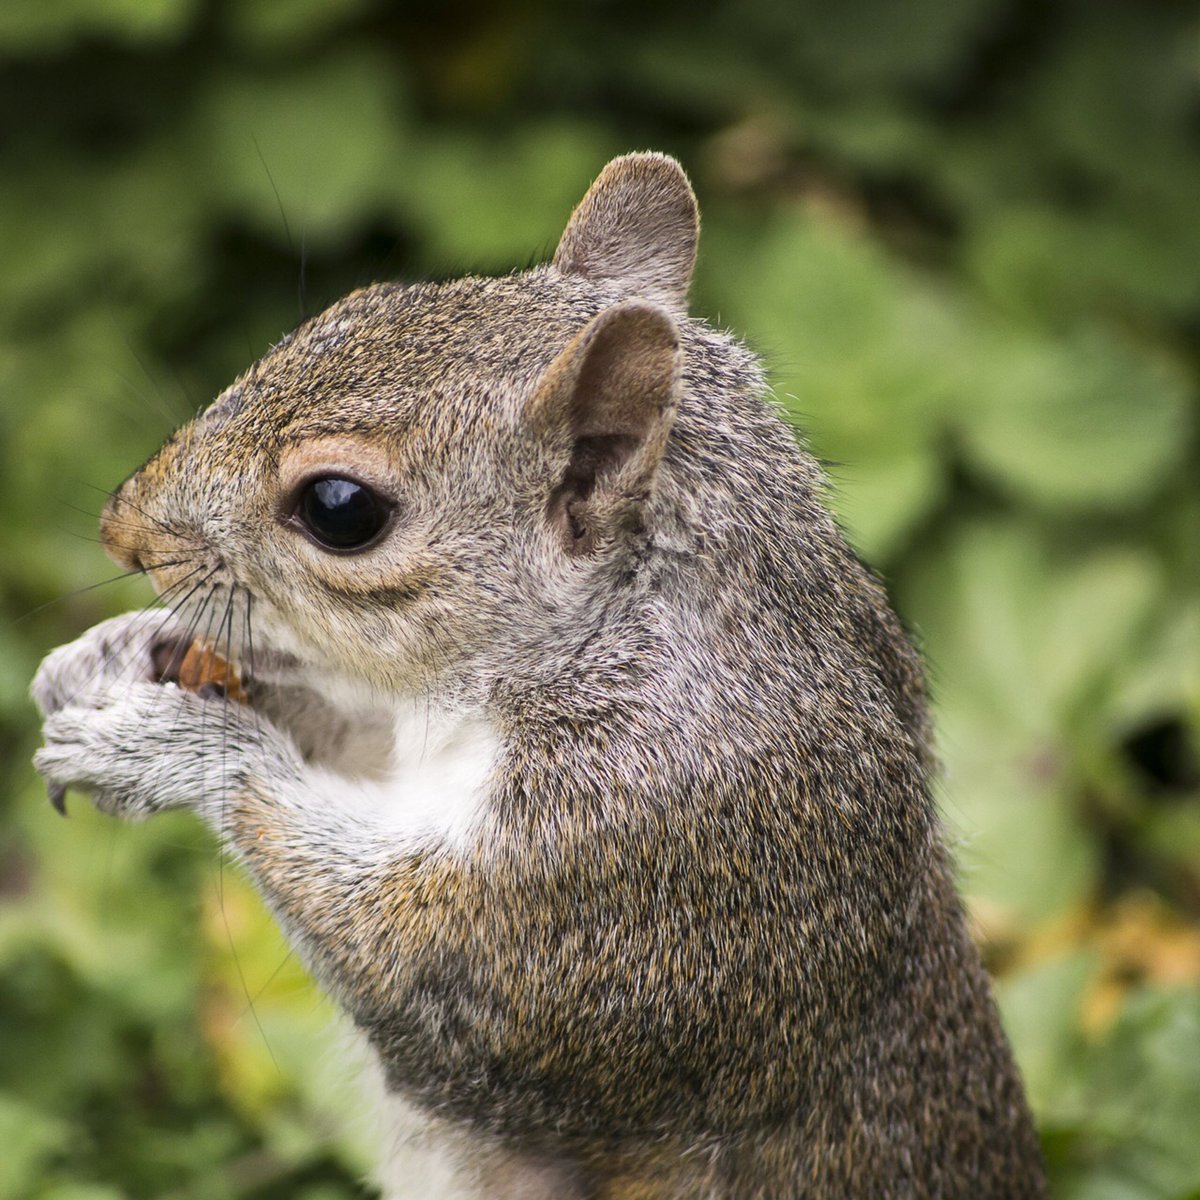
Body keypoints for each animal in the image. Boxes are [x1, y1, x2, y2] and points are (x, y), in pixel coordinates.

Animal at [28, 154, 1041, 1195]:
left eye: (341, 507)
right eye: (356, 304)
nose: (122, 532)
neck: (587, 653)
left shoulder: (628, 866)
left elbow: (409, 966)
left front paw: (174, 746)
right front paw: (116, 653)